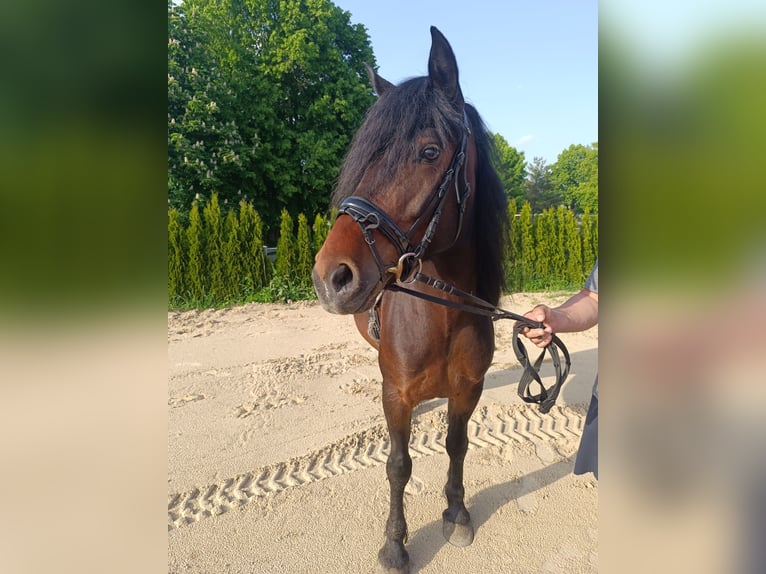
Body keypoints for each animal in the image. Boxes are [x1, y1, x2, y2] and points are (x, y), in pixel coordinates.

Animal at [312, 27, 510, 573]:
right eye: (365, 157)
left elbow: (457, 445)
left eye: (428, 151)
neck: (442, 318)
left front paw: (457, 513)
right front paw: (395, 544)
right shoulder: (396, 396)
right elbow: (399, 465)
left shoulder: (468, 390)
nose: (330, 276)